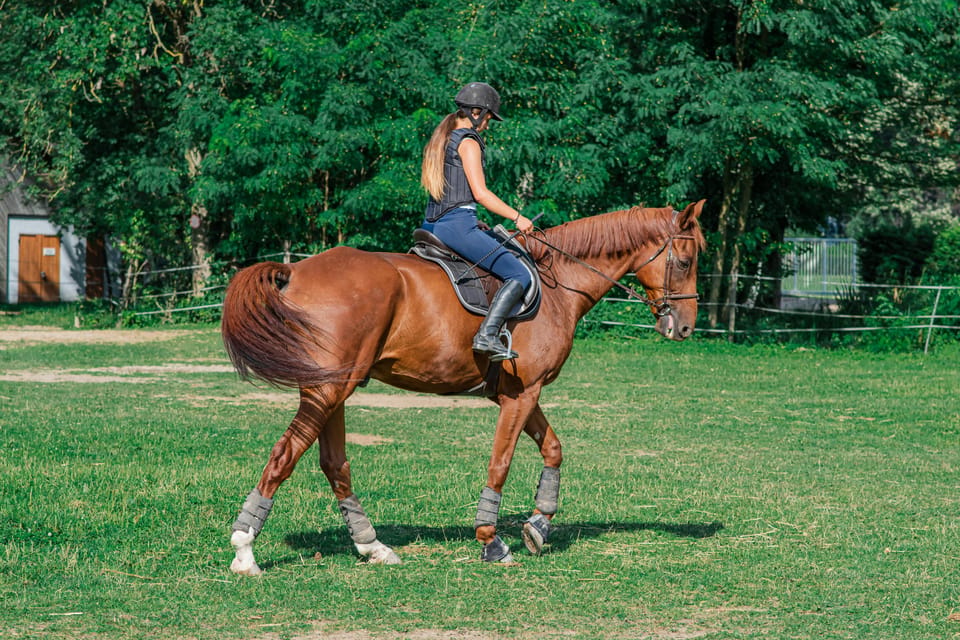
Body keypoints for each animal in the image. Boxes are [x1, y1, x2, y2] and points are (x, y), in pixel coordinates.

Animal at [221, 200, 706, 573]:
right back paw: (245, 551)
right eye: (685, 262)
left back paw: (372, 546)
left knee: (334, 464)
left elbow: (553, 450)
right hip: (326, 393)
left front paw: (538, 526)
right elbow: (501, 463)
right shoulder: (522, 394)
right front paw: (492, 541)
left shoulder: (520, 394)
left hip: (335, 389)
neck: (558, 286)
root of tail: (295, 270)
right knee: (285, 456)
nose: (683, 328)